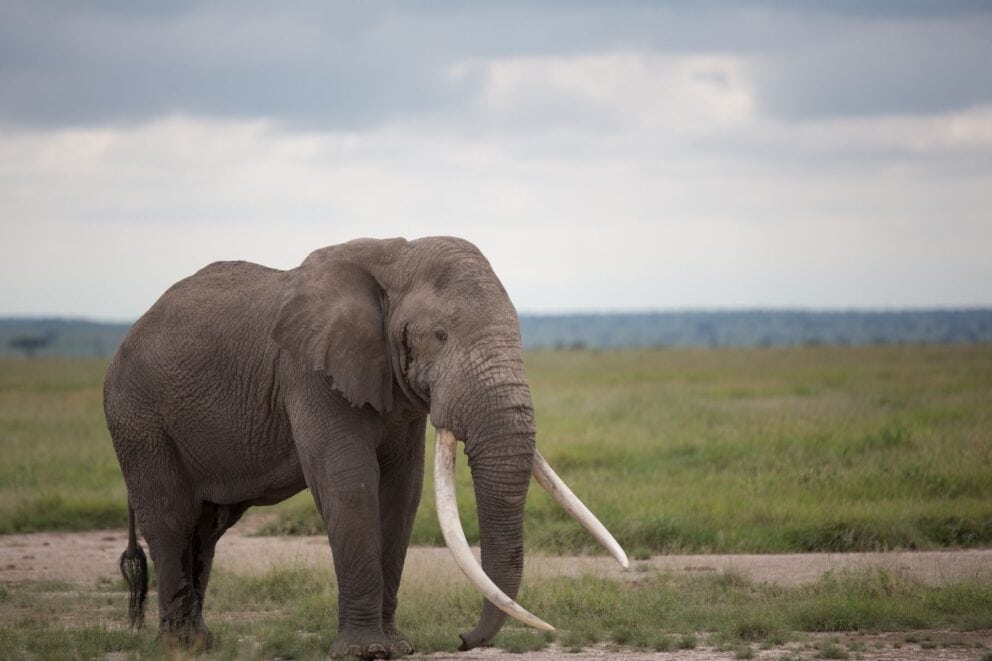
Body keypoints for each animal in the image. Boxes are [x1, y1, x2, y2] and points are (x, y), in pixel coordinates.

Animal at [104, 236, 627, 658]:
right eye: (440, 335)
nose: (462, 639)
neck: (396, 258)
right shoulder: (310, 372)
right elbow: (350, 485)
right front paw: (366, 652)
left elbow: (402, 493)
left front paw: (398, 647)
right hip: (137, 418)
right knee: (171, 518)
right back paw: (179, 646)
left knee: (206, 528)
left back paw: (201, 642)